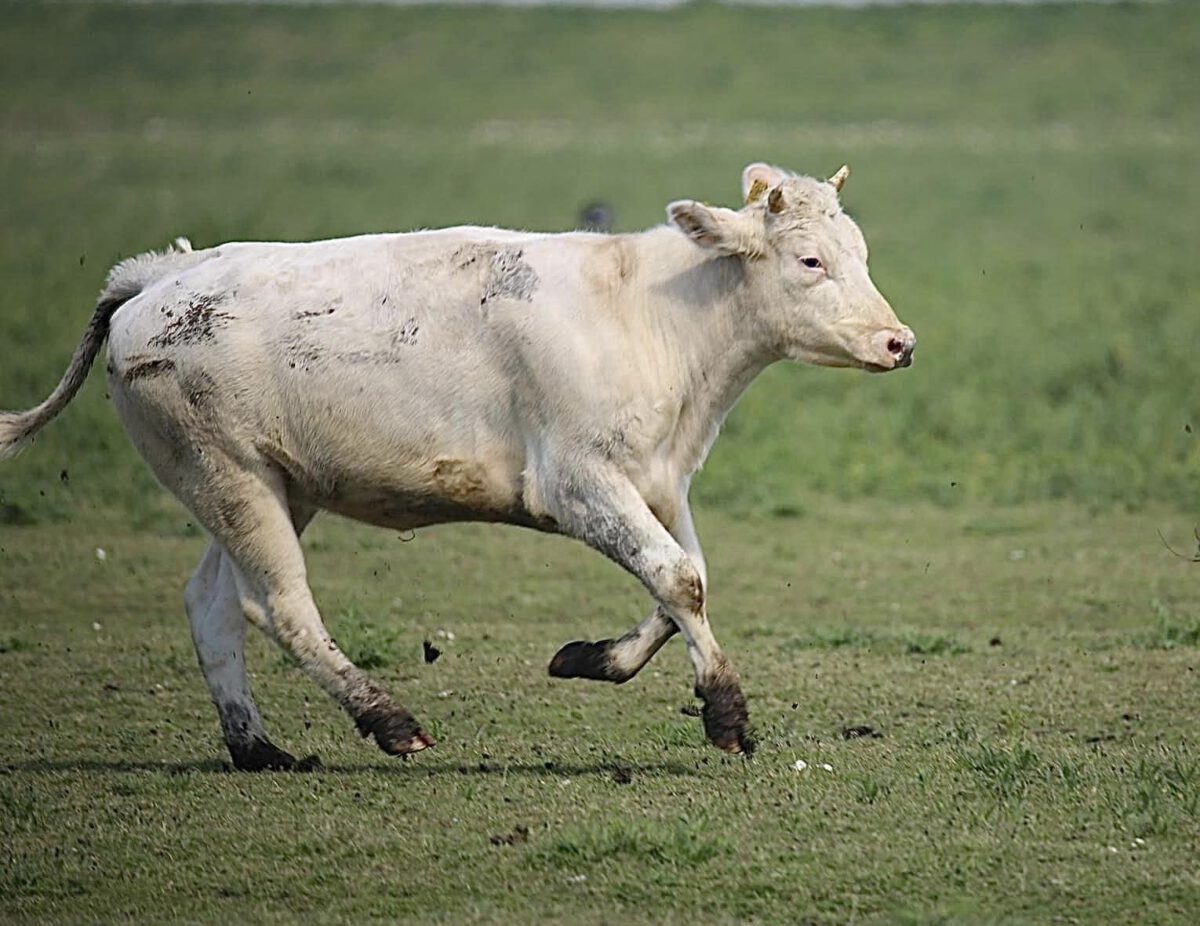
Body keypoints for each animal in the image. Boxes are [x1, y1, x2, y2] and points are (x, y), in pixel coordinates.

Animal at [0, 162, 914, 770]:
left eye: (862, 251)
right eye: (809, 261)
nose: (898, 342)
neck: (648, 314)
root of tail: (163, 272)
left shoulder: (658, 482)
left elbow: (681, 581)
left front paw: (589, 657)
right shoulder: (580, 485)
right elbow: (677, 579)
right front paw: (726, 714)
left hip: (269, 486)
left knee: (213, 605)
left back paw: (259, 748)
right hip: (229, 479)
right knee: (279, 607)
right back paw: (387, 720)